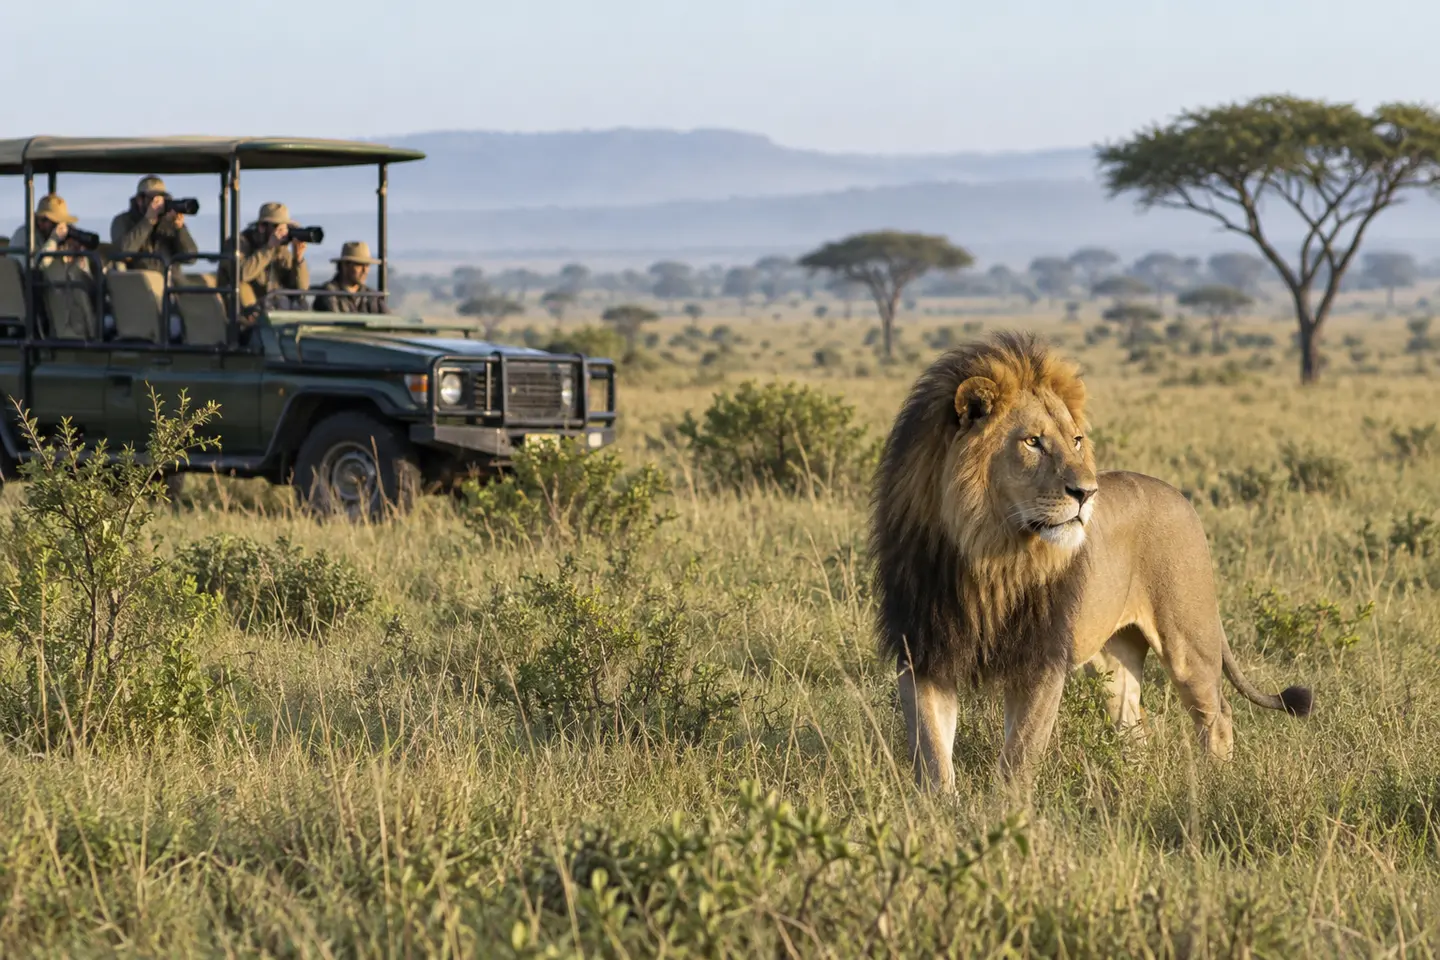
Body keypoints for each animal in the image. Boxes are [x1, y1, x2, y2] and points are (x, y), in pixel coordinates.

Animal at [870, 331, 1312, 792]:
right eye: (1033, 441)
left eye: (1076, 440)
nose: (1087, 493)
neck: (989, 554)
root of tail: (1180, 496)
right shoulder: (923, 654)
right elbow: (933, 754)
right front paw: (942, 806)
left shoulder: (1041, 659)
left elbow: (1019, 755)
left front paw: (1005, 808)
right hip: (1113, 657)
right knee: (1133, 724)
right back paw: (1135, 786)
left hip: (1189, 641)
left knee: (1217, 714)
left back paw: (1215, 784)